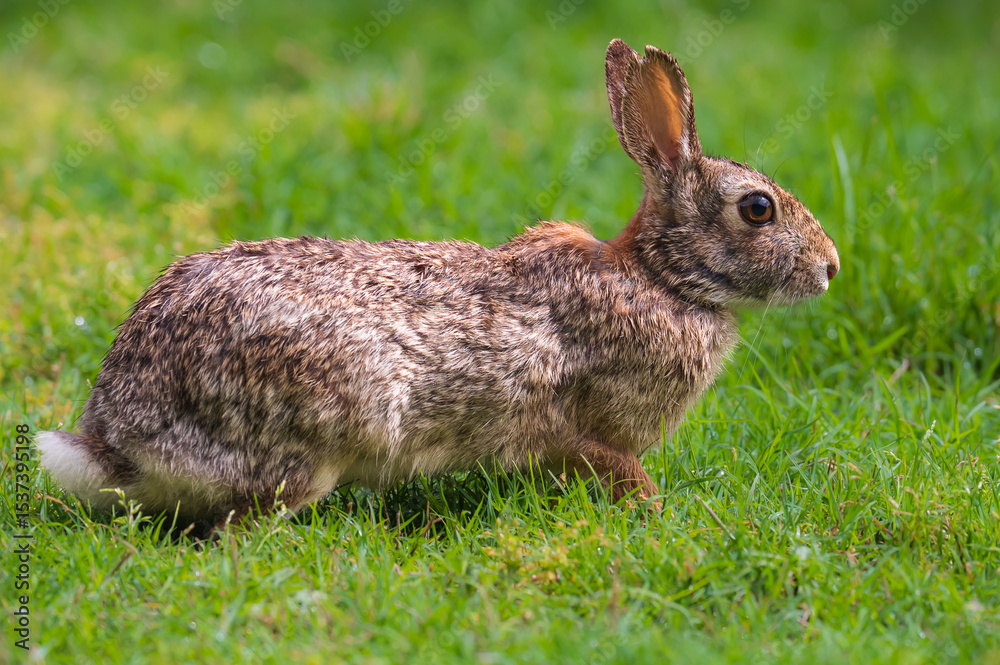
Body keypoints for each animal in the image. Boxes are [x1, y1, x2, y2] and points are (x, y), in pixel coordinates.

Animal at [37, 39, 839, 528]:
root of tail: (119, 436)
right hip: (324, 426)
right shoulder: (578, 420)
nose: (830, 266)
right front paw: (654, 510)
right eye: (758, 209)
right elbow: (611, 462)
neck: (664, 280)